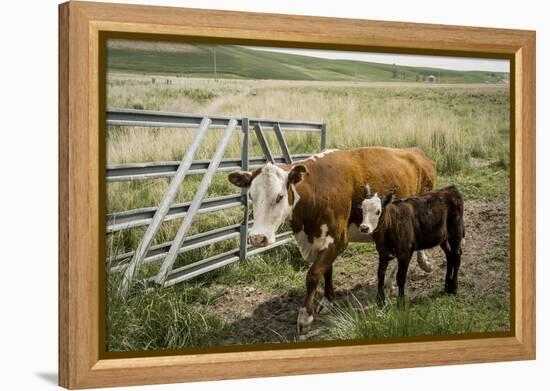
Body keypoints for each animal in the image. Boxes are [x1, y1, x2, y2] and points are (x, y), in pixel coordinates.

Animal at [229, 147, 436, 334]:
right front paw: (328, 300)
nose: (257, 238)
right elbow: (326, 270)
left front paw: (305, 317)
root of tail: (416, 152)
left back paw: (421, 264)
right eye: (251, 196)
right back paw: (391, 281)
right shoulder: (321, 241)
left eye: (279, 196)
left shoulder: (338, 239)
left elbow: (313, 275)